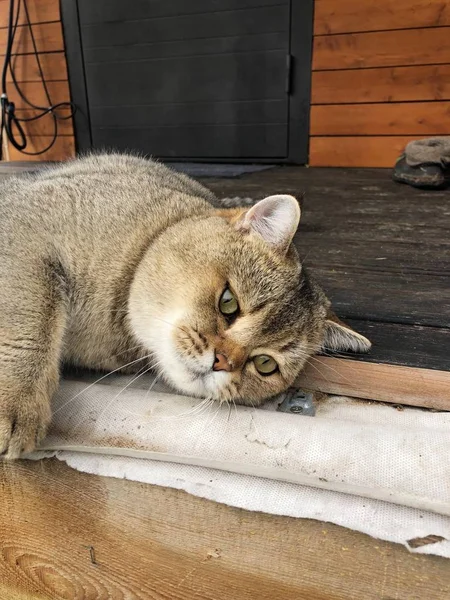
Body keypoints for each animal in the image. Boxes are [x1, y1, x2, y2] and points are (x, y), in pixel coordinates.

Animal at [0, 152, 370, 458]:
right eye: (228, 302)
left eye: (265, 364)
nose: (222, 362)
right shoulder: (25, 230)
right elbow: (30, 321)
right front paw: (16, 402)